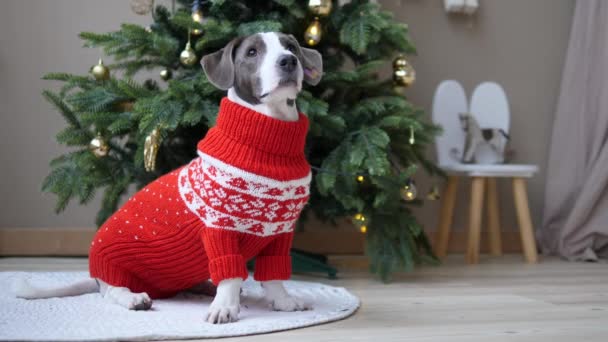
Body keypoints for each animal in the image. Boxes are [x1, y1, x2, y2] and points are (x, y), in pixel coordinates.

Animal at [13, 33, 324, 324]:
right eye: (251, 52)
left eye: (291, 47)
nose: (288, 61)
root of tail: (95, 275)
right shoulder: (219, 229)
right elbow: (230, 274)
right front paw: (225, 306)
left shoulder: (280, 233)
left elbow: (273, 275)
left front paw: (284, 302)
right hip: (114, 267)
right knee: (111, 291)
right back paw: (133, 298)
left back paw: (203, 286)